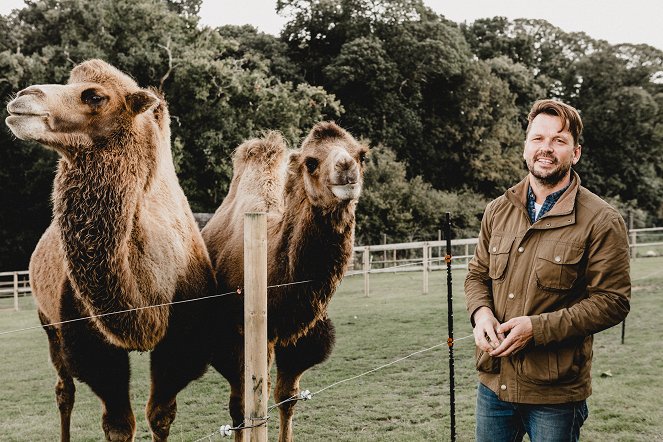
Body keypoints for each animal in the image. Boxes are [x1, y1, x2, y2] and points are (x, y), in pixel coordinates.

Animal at [5, 59, 218, 442]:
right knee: (64, 391)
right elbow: (118, 425)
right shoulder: (89, 346)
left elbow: (160, 416)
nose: (22, 99)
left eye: (94, 96)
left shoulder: (186, 342)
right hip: (48, 322)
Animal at [202, 123, 368, 442]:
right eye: (311, 162)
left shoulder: (300, 337)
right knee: (238, 407)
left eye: (362, 155)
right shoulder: (240, 335)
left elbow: (287, 397)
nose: (346, 167)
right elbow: (248, 405)